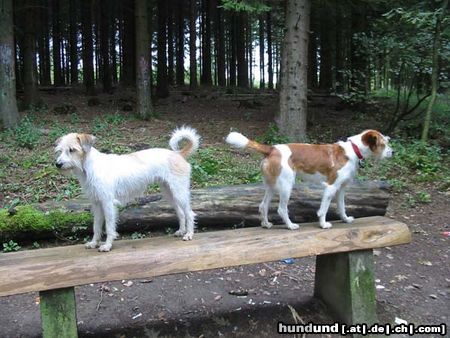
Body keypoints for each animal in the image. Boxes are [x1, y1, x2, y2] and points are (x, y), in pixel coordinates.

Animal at [54, 126, 199, 251]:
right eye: (60, 150)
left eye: (72, 150)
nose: (57, 164)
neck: (89, 167)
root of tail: (178, 154)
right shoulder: (96, 204)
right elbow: (96, 227)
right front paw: (94, 243)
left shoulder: (107, 204)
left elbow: (109, 227)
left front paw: (107, 245)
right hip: (169, 193)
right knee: (181, 212)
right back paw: (181, 231)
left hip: (179, 193)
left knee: (189, 213)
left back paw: (189, 234)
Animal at [227, 129, 392, 230]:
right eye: (383, 144)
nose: (393, 152)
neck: (352, 150)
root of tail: (272, 149)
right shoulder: (331, 187)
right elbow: (323, 209)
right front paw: (323, 224)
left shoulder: (341, 189)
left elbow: (342, 207)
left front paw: (345, 219)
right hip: (286, 186)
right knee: (281, 209)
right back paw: (290, 226)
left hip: (272, 186)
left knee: (263, 206)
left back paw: (266, 224)